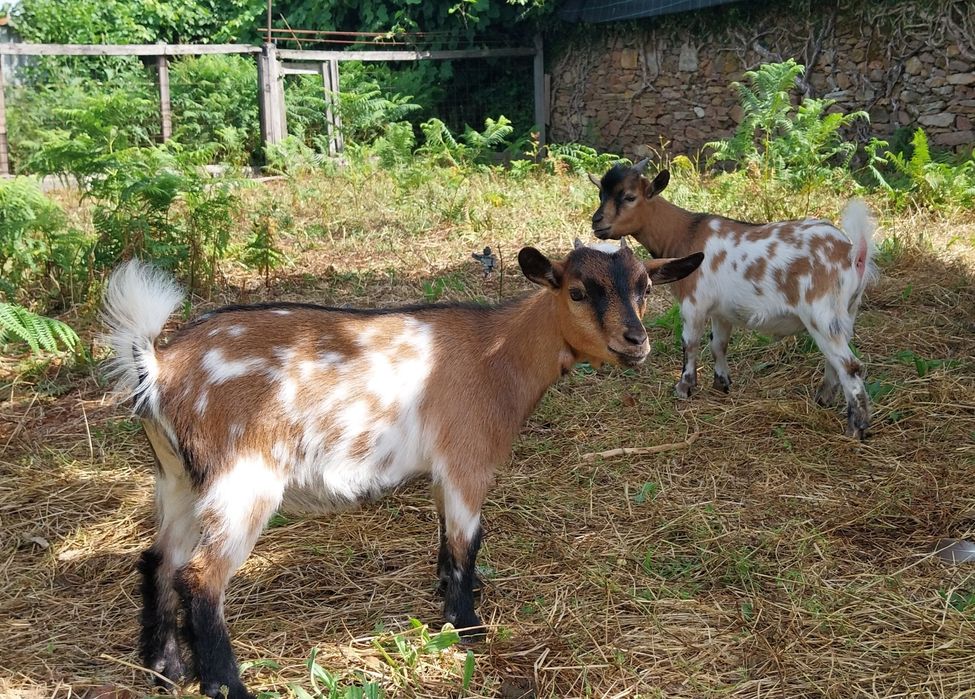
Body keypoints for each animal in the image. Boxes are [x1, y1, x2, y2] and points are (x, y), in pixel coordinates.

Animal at [101, 242, 703, 699]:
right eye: (577, 291)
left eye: (645, 287)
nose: (636, 341)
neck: (497, 354)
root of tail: (160, 366)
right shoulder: (466, 460)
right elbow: (467, 541)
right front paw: (467, 626)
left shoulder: (440, 469)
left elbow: (448, 541)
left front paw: (454, 597)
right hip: (241, 479)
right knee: (200, 576)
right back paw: (226, 685)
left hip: (178, 478)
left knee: (158, 558)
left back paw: (165, 669)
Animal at [589, 159, 877, 439]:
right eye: (601, 193)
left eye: (629, 197)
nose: (596, 223)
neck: (686, 233)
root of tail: (852, 253)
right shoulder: (720, 311)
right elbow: (719, 344)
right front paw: (721, 383)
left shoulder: (693, 303)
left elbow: (690, 344)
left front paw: (684, 387)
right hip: (846, 312)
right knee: (835, 361)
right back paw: (823, 399)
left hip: (822, 313)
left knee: (850, 366)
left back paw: (856, 427)